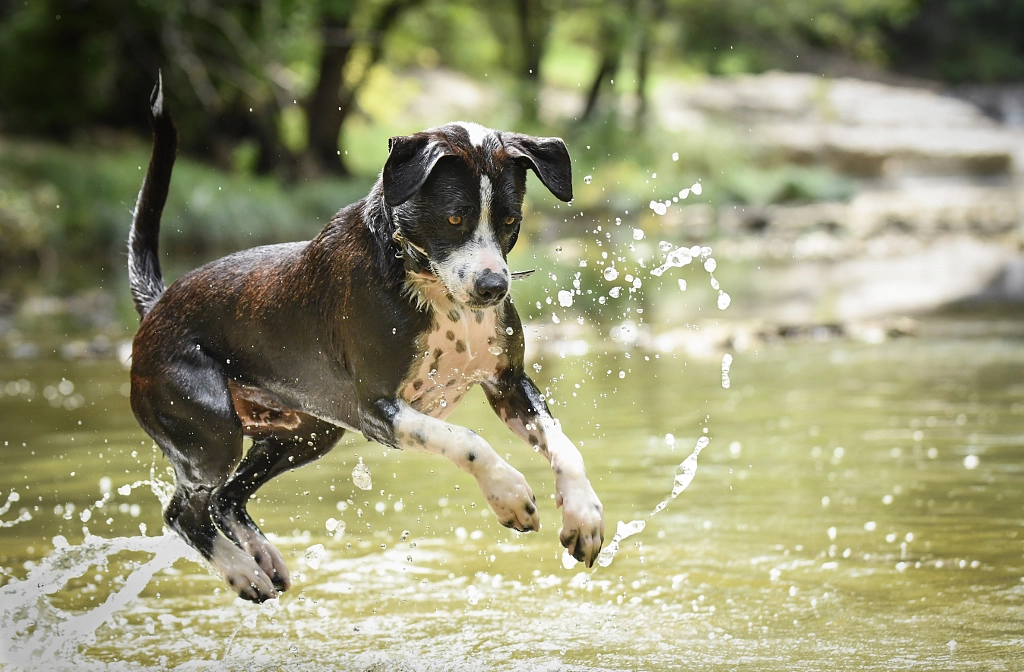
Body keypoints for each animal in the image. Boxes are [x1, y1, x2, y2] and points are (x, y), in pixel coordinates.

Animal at [130, 78, 606, 602]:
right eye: (455, 219)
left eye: (508, 220)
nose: (493, 287)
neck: (426, 281)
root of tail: (156, 306)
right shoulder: (378, 411)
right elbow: (467, 440)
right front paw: (509, 493)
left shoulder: (509, 384)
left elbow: (564, 445)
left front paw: (583, 515)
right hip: (209, 433)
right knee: (185, 512)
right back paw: (242, 572)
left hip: (305, 435)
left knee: (227, 500)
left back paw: (262, 560)